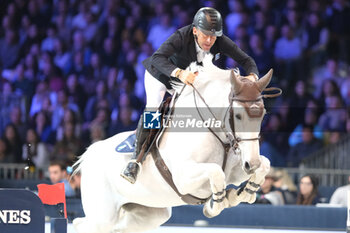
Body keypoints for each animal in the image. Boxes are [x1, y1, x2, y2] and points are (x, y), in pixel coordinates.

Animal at [72, 55, 278, 232]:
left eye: (263, 114)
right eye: (238, 116)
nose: (251, 164)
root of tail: (89, 153)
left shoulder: (235, 171)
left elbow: (265, 164)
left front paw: (244, 193)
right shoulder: (184, 178)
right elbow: (215, 172)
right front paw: (218, 203)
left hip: (150, 213)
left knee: (113, 227)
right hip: (103, 216)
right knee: (85, 225)